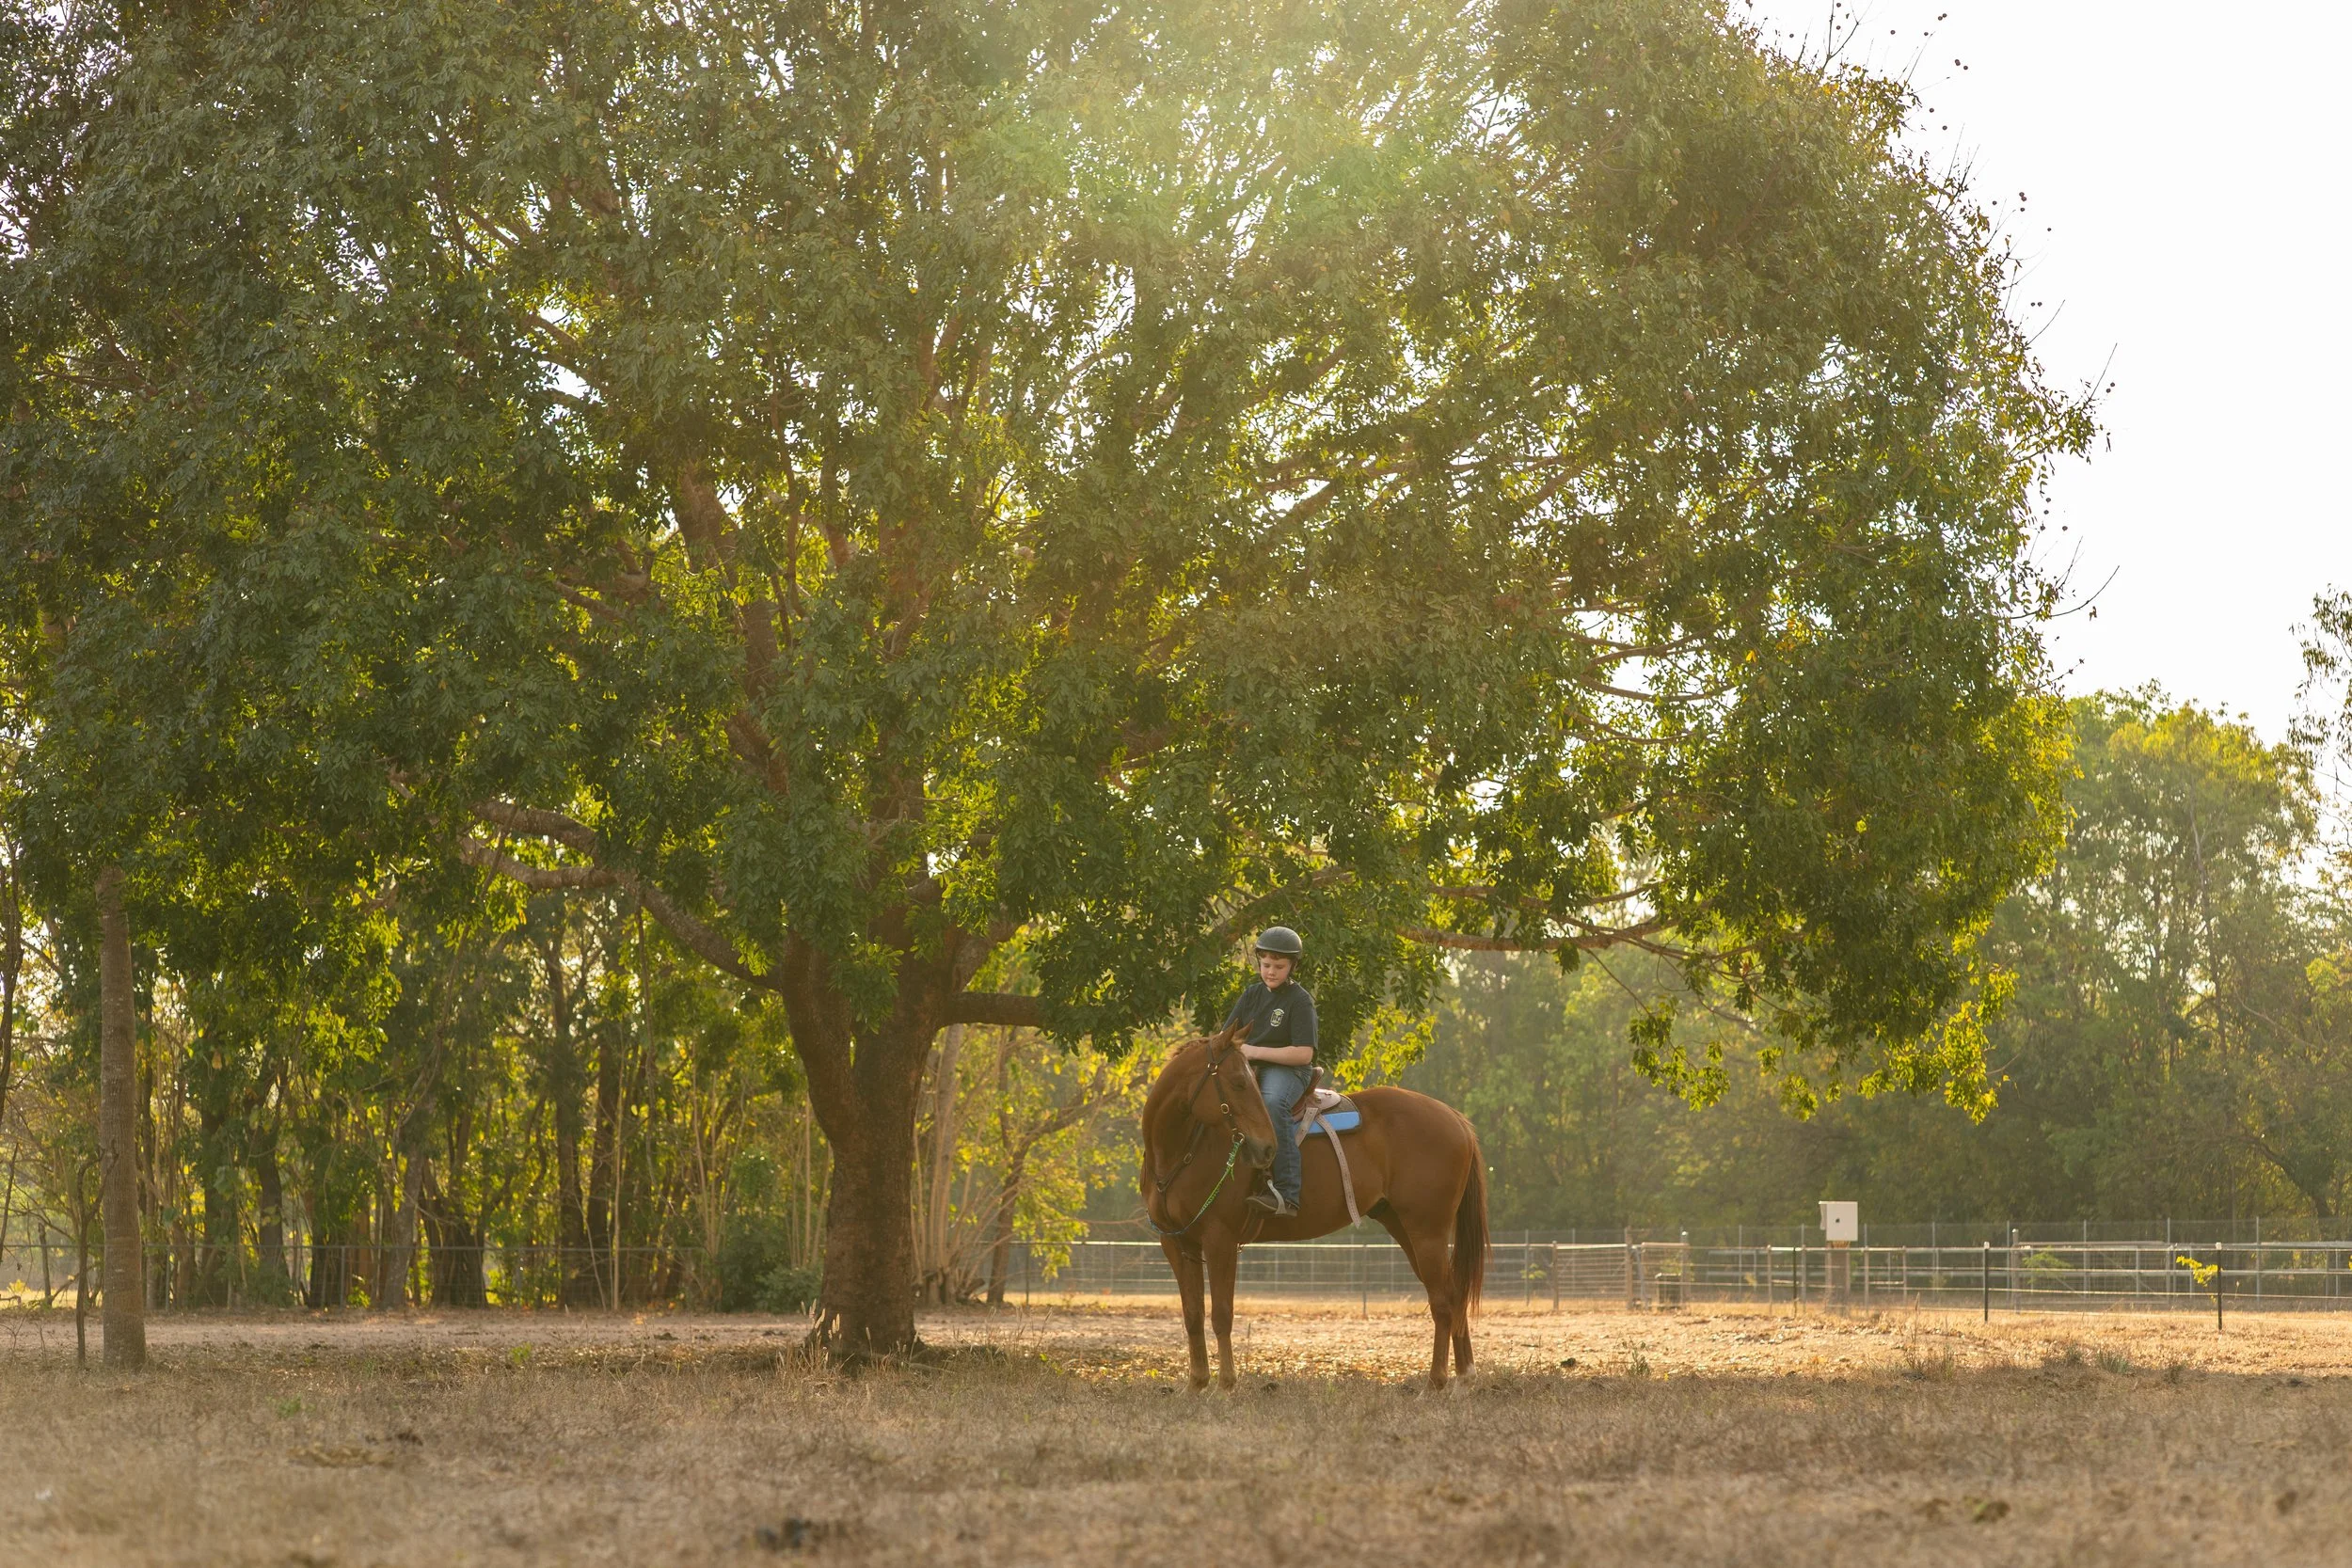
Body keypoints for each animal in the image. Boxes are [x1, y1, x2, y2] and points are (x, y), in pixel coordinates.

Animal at [1139, 1026, 1488, 1390]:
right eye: (1237, 1082)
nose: (1266, 1149)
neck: (1180, 1152)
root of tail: (1455, 1119)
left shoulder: (1220, 1240)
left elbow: (1221, 1314)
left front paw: (1225, 1386)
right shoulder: (1177, 1243)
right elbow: (1192, 1314)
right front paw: (1196, 1384)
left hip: (1427, 1231)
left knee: (1443, 1302)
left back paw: (1435, 1383)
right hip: (1404, 1227)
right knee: (1452, 1294)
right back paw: (1464, 1378)